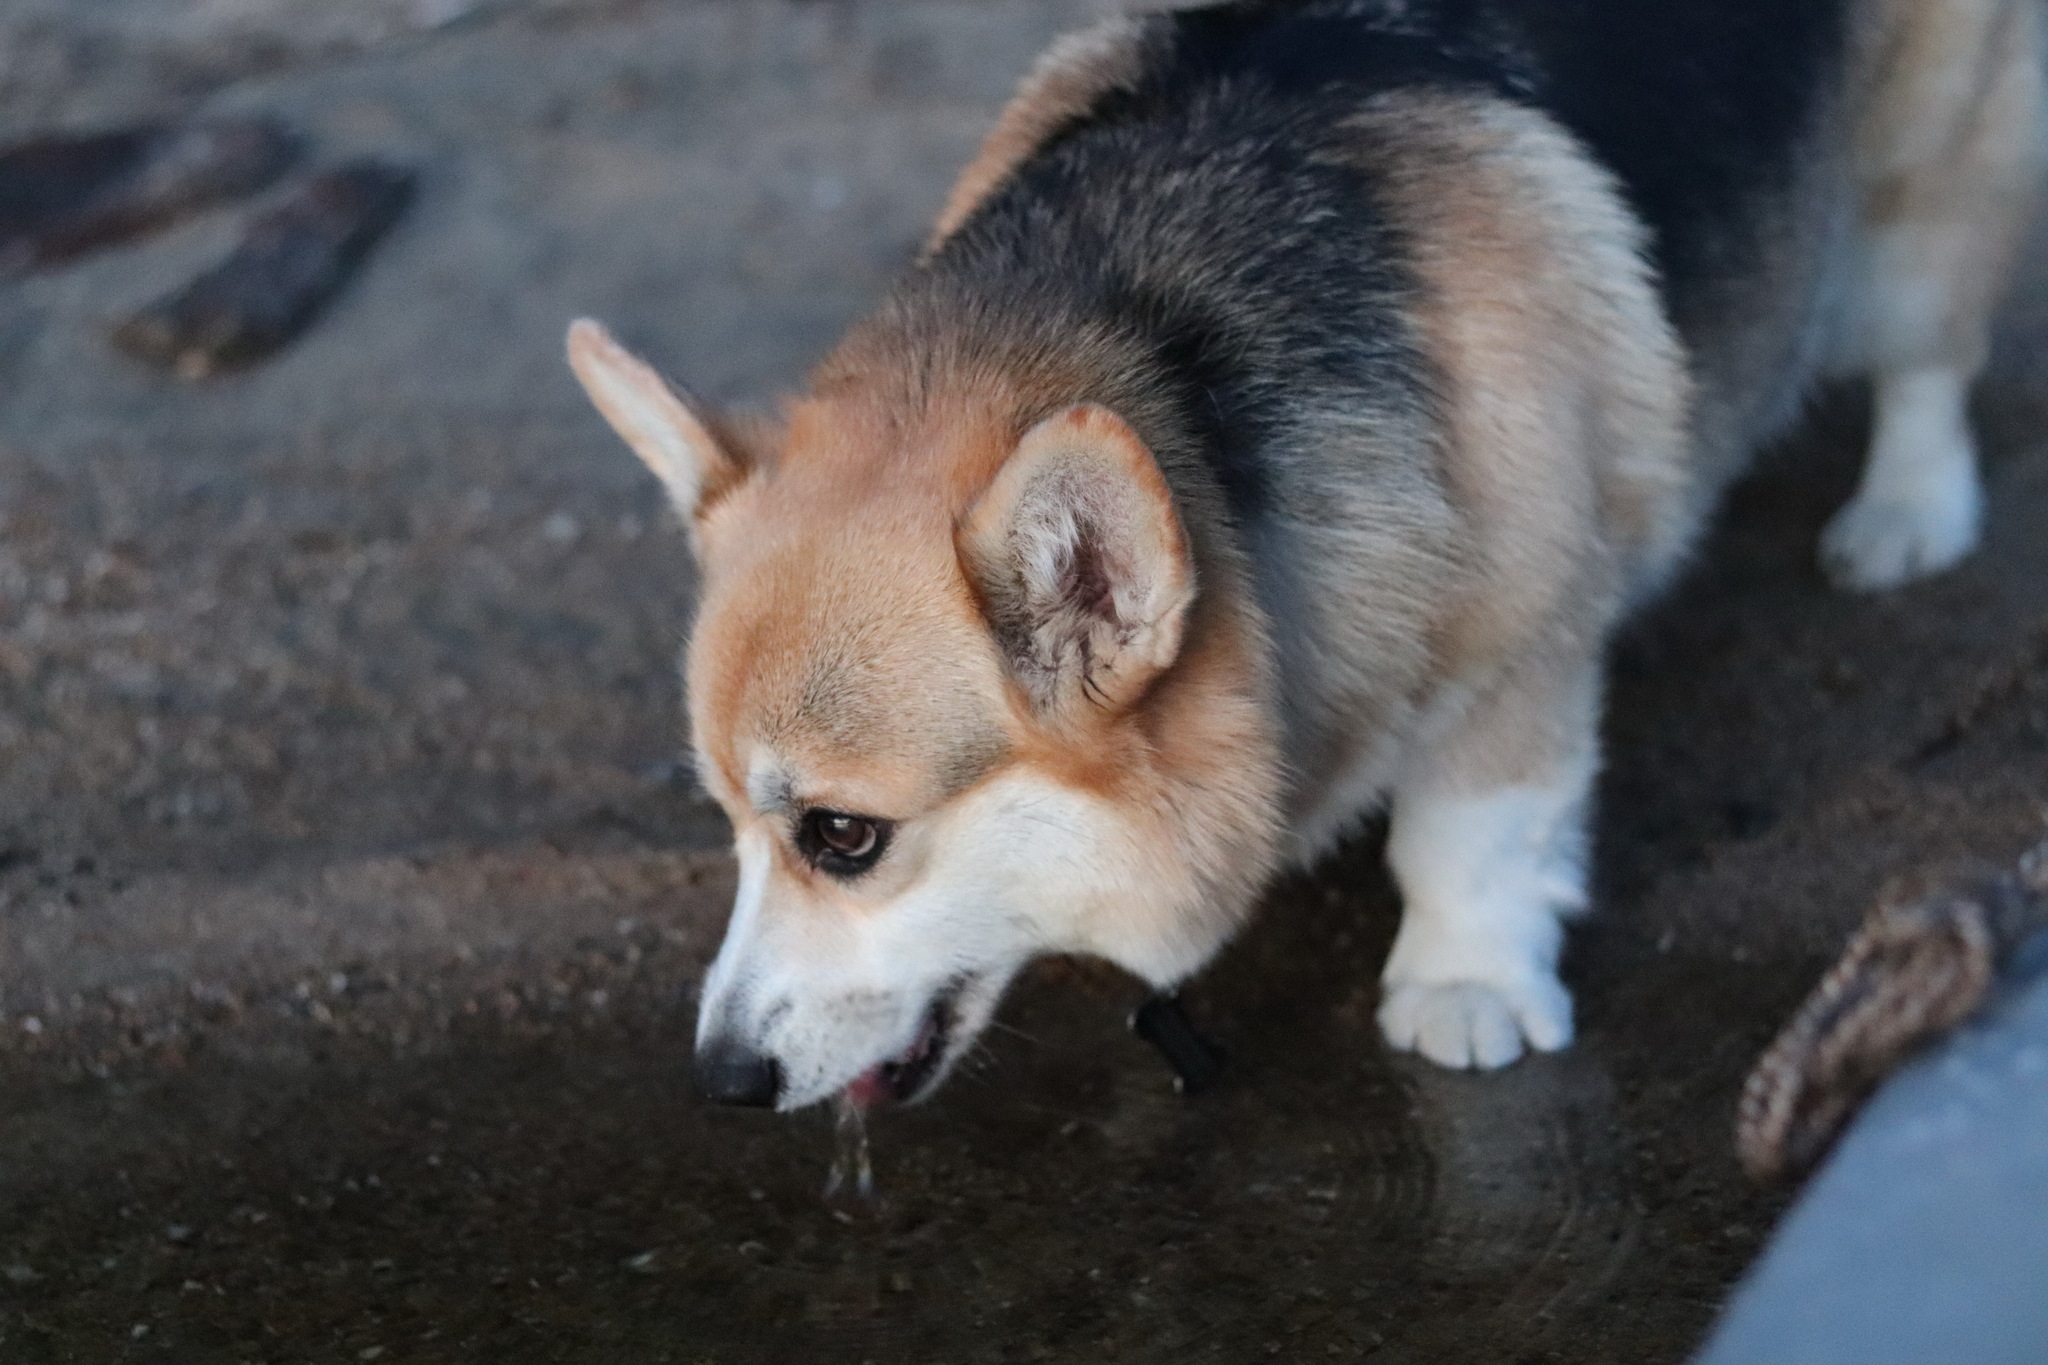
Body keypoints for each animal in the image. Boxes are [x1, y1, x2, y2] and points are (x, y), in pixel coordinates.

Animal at [565, 0, 2048, 1113]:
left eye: (843, 836)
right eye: (729, 825)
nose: (719, 1082)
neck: (1167, 349)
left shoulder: (1524, 639)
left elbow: (1473, 825)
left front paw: (1464, 983)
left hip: (1913, 209)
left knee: (1925, 355)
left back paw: (1905, 518)